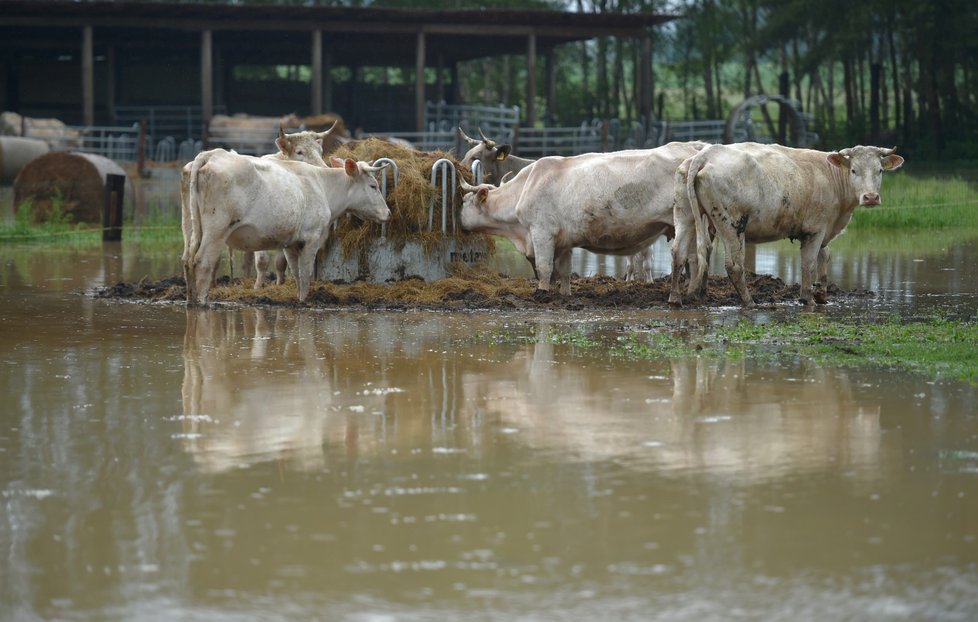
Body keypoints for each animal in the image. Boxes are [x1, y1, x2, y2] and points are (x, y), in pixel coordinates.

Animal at [186, 151, 388, 308]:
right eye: (373, 186)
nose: (388, 213)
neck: (322, 187)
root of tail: (212, 154)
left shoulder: (291, 243)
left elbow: (296, 272)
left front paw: (299, 299)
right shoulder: (312, 238)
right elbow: (305, 273)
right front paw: (305, 300)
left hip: (194, 229)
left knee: (188, 259)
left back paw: (191, 300)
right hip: (217, 230)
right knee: (203, 262)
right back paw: (203, 302)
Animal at [458, 143, 700, 298]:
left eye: (464, 201)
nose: (458, 222)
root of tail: (692, 148)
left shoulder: (541, 232)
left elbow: (544, 268)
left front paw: (542, 293)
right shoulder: (563, 242)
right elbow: (565, 272)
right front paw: (565, 294)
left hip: (684, 220)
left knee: (685, 258)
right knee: (695, 259)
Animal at [668, 141, 904, 308]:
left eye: (879, 170)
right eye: (854, 170)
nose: (871, 197)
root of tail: (706, 154)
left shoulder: (825, 228)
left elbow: (824, 257)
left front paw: (821, 293)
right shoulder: (815, 230)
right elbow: (808, 263)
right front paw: (807, 298)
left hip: (685, 215)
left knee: (678, 253)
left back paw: (675, 299)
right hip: (732, 224)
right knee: (734, 266)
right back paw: (749, 302)